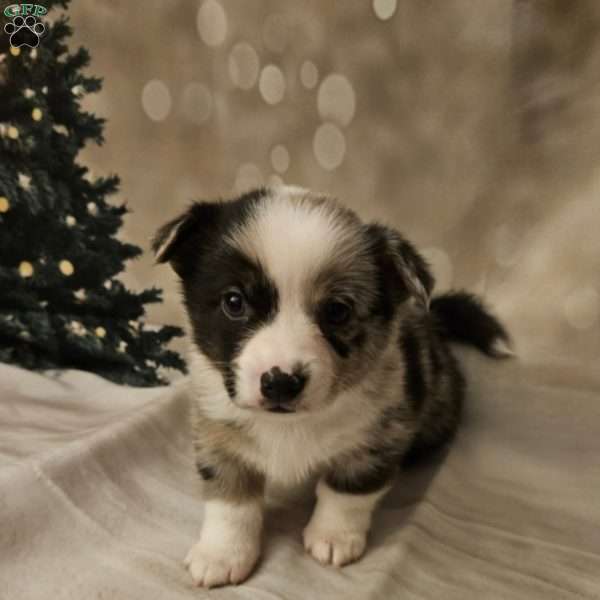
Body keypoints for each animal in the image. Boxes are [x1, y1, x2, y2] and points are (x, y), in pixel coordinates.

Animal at [152, 185, 508, 588]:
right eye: (233, 301)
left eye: (337, 311)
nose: (280, 383)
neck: (289, 424)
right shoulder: (217, 437)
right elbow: (231, 503)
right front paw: (222, 554)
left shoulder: (376, 440)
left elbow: (345, 493)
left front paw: (333, 538)